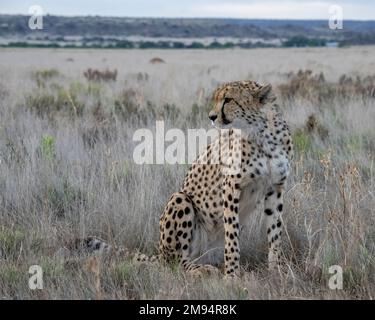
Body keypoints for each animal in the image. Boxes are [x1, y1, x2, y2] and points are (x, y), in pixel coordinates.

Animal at [159, 80, 294, 278]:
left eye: (228, 99)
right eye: (216, 99)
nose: (212, 117)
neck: (262, 134)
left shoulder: (275, 188)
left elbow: (275, 232)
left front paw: (276, 270)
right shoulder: (231, 187)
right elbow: (231, 238)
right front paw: (231, 276)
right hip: (180, 198)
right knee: (177, 262)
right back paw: (201, 270)